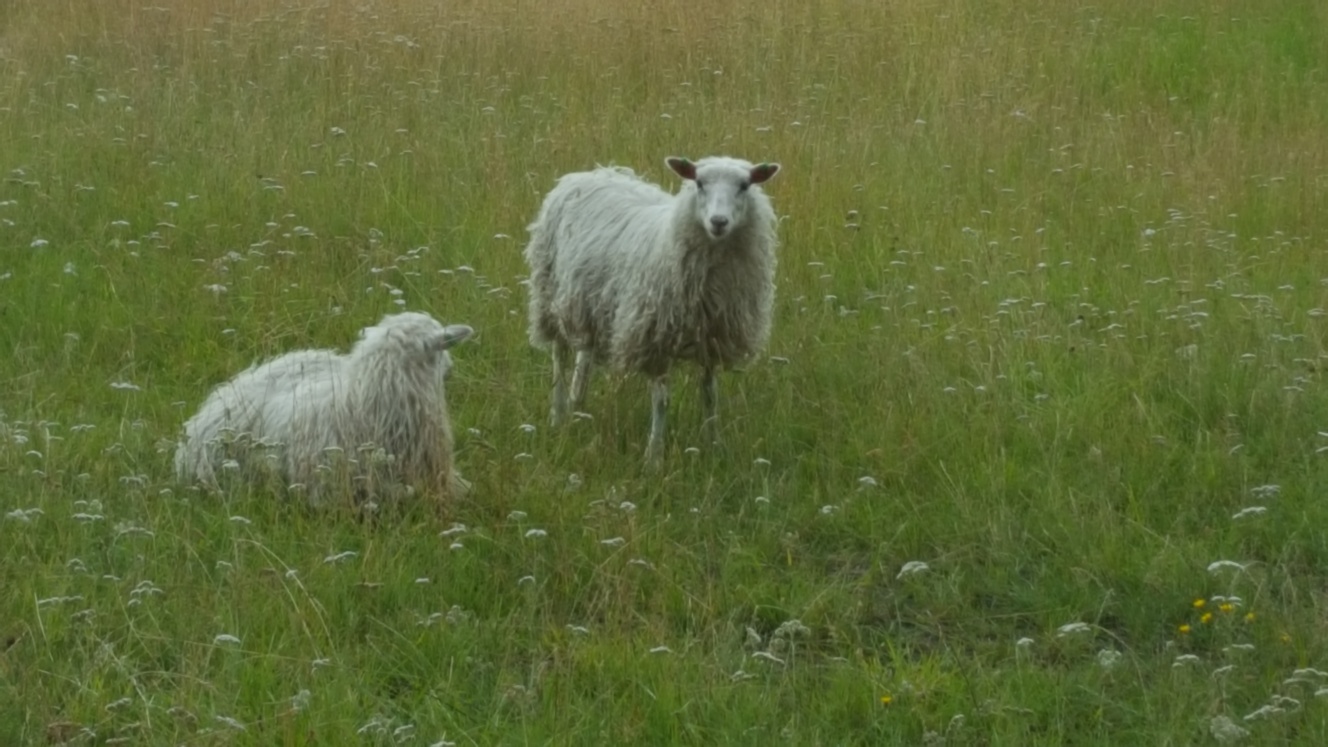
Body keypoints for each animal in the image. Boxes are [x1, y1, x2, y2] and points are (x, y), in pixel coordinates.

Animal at [524, 155, 781, 462]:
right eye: (699, 183)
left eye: (745, 185)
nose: (718, 222)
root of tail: (588, 173)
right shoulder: (655, 338)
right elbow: (662, 400)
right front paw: (654, 456)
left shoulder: (711, 339)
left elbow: (710, 395)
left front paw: (714, 445)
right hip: (549, 296)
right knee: (559, 357)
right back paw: (558, 413)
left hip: (589, 304)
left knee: (583, 357)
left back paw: (578, 405)